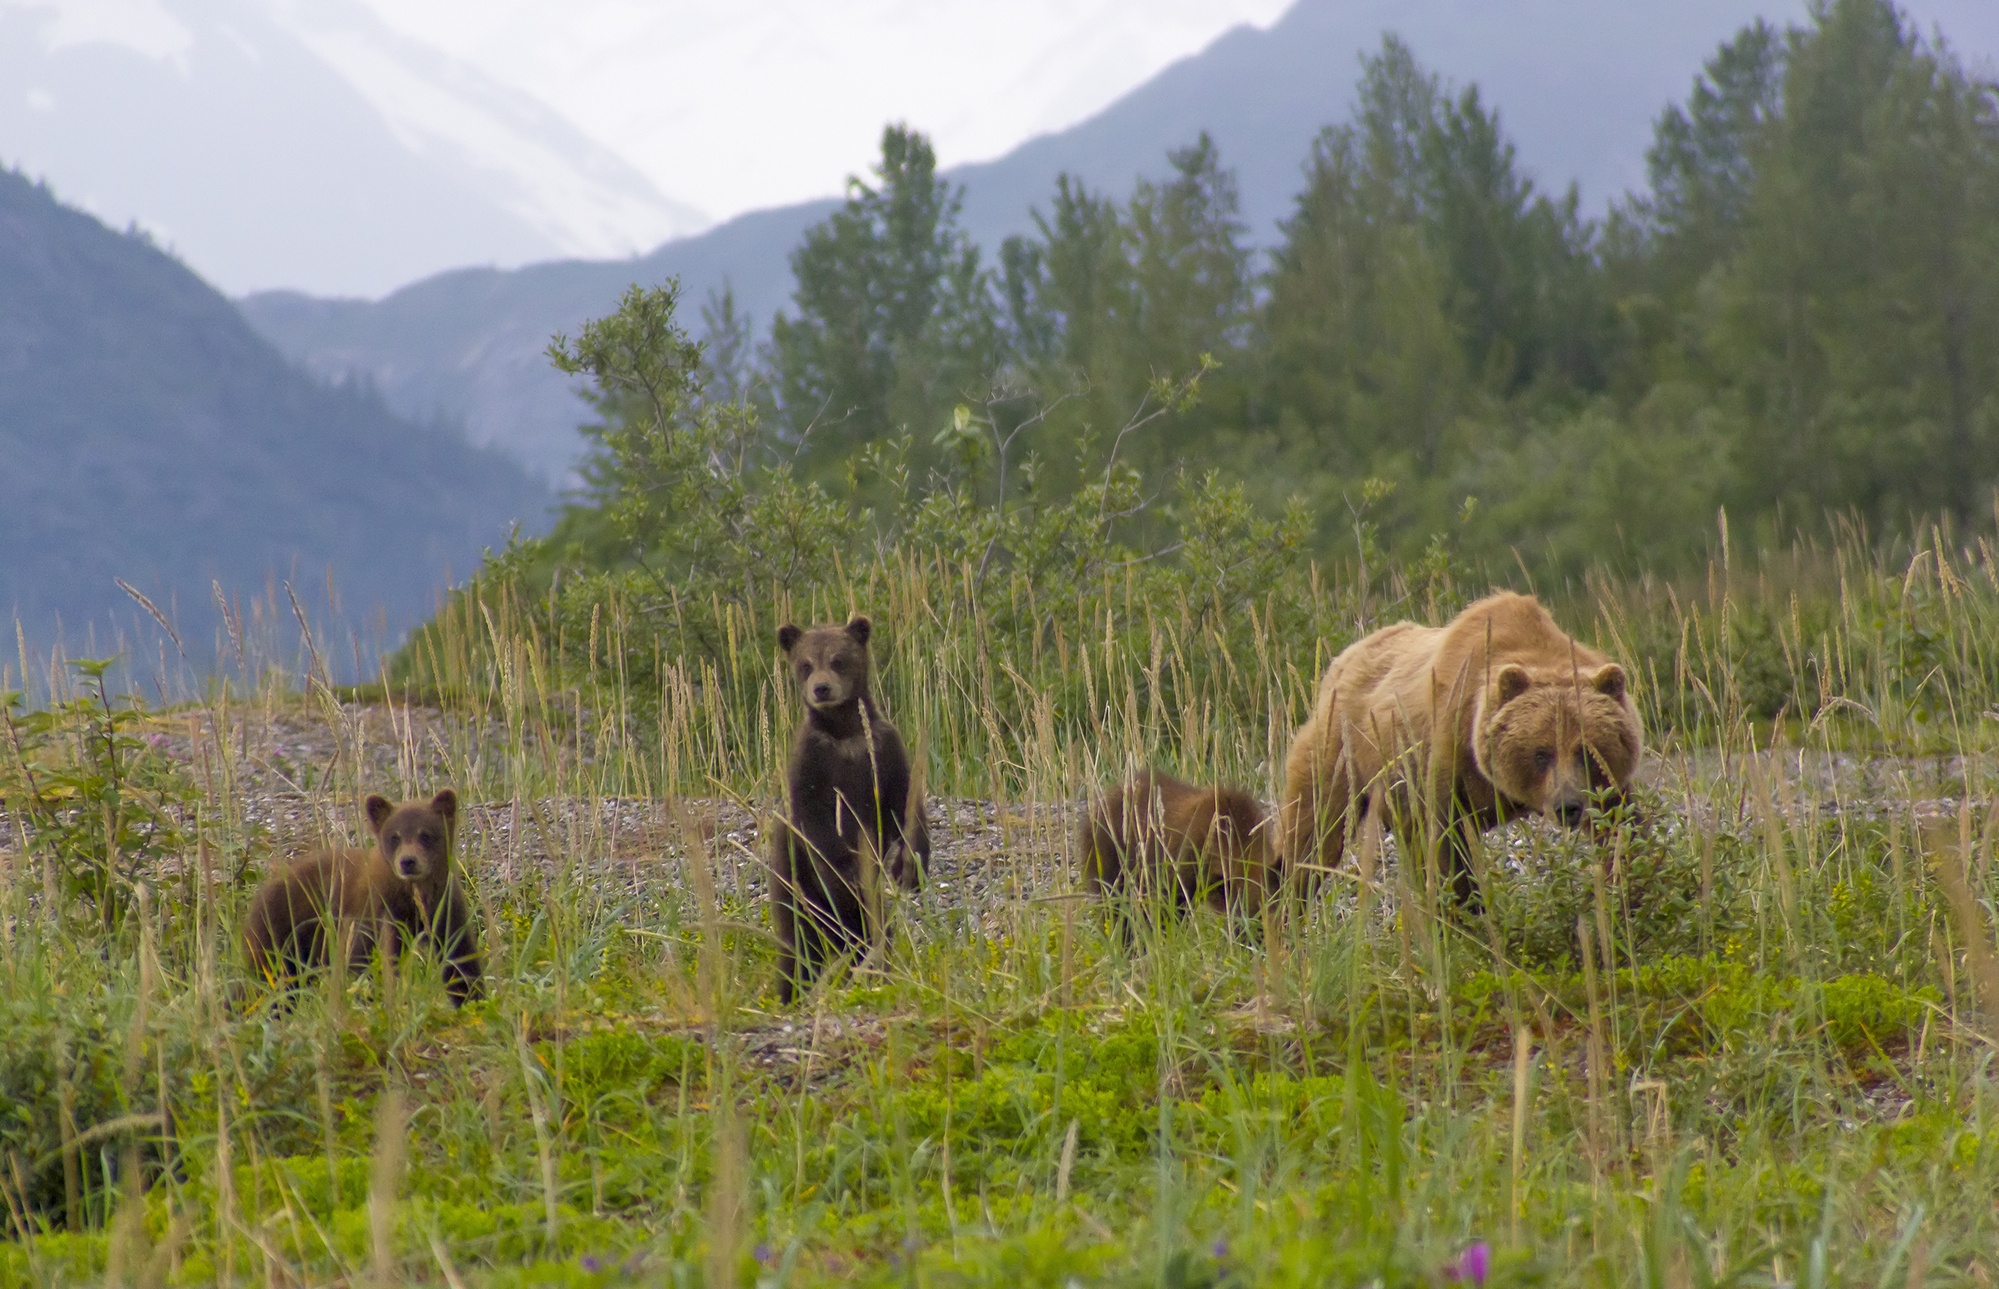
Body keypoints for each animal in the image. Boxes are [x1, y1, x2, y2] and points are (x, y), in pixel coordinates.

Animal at [244, 783, 483, 1007]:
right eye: (394, 837)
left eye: (425, 834)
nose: (408, 861)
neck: (412, 897)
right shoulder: (376, 911)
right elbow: (363, 960)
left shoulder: (445, 908)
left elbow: (460, 957)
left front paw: (471, 997)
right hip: (278, 932)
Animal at [763, 615, 927, 1007]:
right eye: (806, 664)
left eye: (839, 660)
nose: (821, 689)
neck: (845, 732)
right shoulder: (812, 762)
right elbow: (817, 823)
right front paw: (843, 870)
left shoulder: (883, 751)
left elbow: (906, 805)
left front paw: (911, 865)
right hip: (792, 878)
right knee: (797, 942)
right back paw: (793, 992)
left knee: (869, 930)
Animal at [1279, 587, 1639, 911]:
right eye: (1541, 753)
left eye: (1586, 750)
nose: (1568, 806)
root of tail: (1342, 660)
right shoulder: (1448, 750)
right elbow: (1445, 845)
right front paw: (1464, 909)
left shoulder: (1606, 787)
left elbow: (1619, 828)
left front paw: (1625, 890)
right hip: (1342, 753)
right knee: (1311, 836)